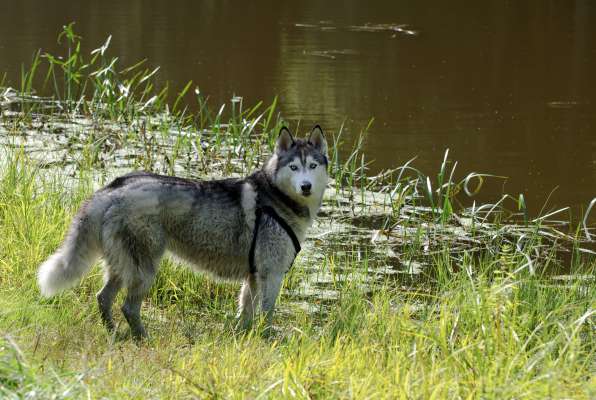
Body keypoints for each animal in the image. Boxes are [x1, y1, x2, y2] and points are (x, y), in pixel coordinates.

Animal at [37, 125, 328, 338]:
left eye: (313, 166)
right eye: (293, 167)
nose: (305, 186)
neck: (276, 197)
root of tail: (113, 188)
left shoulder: (253, 277)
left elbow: (246, 313)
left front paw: (242, 338)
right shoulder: (272, 274)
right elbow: (267, 314)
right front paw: (267, 341)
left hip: (122, 265)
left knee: (103, 299)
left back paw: (114, 334)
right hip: (144, 268)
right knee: (128, 307)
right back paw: (143, 338)